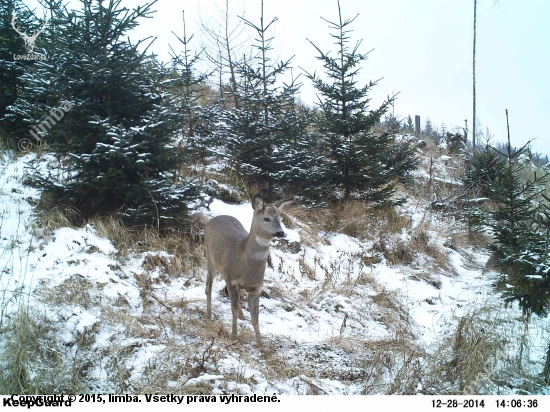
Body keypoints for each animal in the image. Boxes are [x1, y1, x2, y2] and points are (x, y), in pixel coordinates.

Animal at [205, 195, 296, 346]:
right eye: (266, 218)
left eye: (279, 218)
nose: (281, 233)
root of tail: (213, 219)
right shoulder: (232, 280)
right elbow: (233, 308)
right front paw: (234, 336)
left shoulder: (256, 287)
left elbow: (255, 316)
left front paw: (260, 344)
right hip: (210, 259)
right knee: (209, 286)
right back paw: (209, 314)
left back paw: (242, 316)